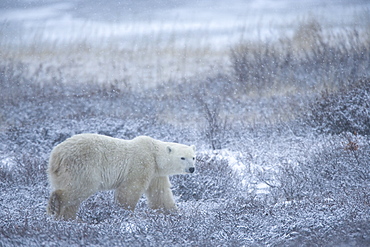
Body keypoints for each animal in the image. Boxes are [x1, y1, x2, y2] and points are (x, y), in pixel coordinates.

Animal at [47, 134, 197, 221]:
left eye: (193, 157)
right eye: (182, 158)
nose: (192, 169)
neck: (154, 155)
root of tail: (57, 154)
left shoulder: (156, 173)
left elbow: (161, 193)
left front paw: (172, 213)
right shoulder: (141, 163)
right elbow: (130, 189)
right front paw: (124, 213)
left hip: (61, 172)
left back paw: (70, 219)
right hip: (83, 165)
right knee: (81, 187)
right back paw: (55, 206)